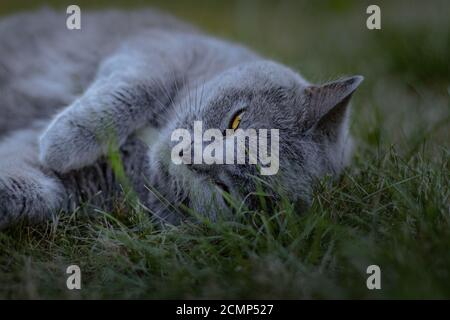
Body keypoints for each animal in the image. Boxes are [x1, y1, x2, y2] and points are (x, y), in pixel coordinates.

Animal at [0, 7, 362, 228]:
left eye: (225, 189)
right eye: (235, 121)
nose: (189, 155)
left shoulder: (87, 185)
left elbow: (35, 189)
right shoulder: (160, 48)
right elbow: (138, 86)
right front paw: (61, 143)